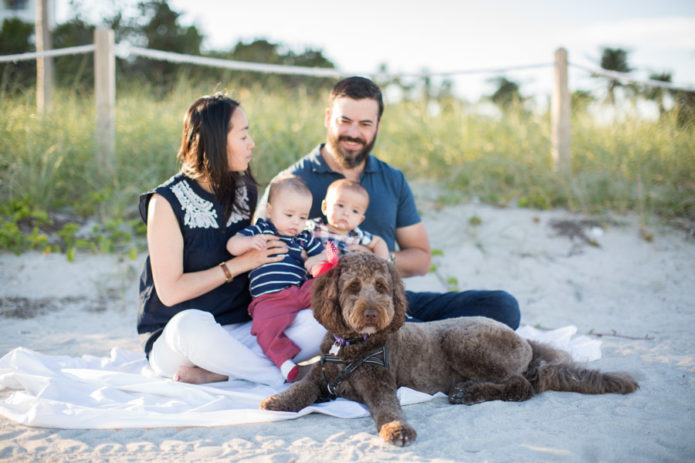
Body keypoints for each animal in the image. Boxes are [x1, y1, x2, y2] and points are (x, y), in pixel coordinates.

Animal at [260, 252, 636, 448]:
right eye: (352, 287)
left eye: (381, 286)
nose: (372, 313)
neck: (352, 345)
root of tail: (526, 343)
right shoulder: (322, 376)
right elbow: (301, 387)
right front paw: (276, 401)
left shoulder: (379, 383)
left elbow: (388, 409)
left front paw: (397, 431)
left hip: (462, 340)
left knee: (521, 386)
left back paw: (469, 393)